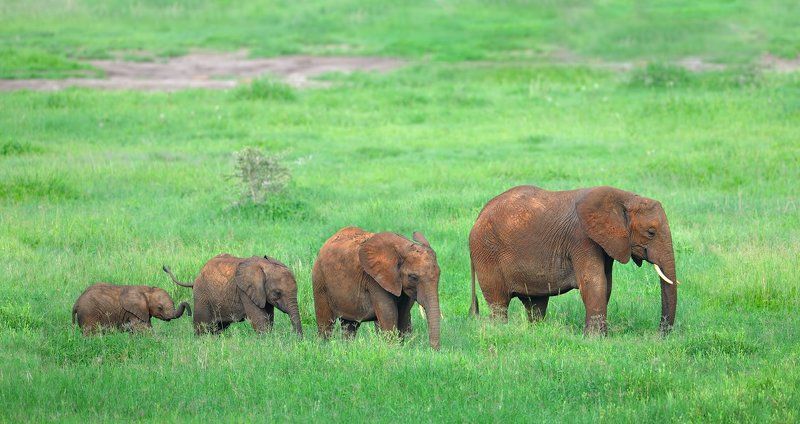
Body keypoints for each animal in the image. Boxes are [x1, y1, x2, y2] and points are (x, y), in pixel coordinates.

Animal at [163, 254, 303, 336]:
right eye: (277, 293)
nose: (298, 340)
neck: (265, 265)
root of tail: (195, 279)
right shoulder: (244, 291)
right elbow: (260, 320)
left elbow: (268, 318)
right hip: (202, 296)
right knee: (202, 327)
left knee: (218, 328)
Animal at [312, 227, 442, 349]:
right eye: (413, 277)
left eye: (439, 274)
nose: (433, 351)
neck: (403, 246)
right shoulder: (374, 280)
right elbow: (388, 313)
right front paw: (392, 350)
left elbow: (403, 314)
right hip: (319, 280)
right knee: (325, 324)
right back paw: (323, 347)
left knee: (349, 325)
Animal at [469, 185, 679, 335]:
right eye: (651, 232)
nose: (660, 335)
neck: (624, 198)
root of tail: (477, 217)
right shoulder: (581, 239)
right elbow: (595, 283)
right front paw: (596, 339)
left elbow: (607, 284)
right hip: (486, 252)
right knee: (499, 303)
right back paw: (500, 332)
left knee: (536, 304)